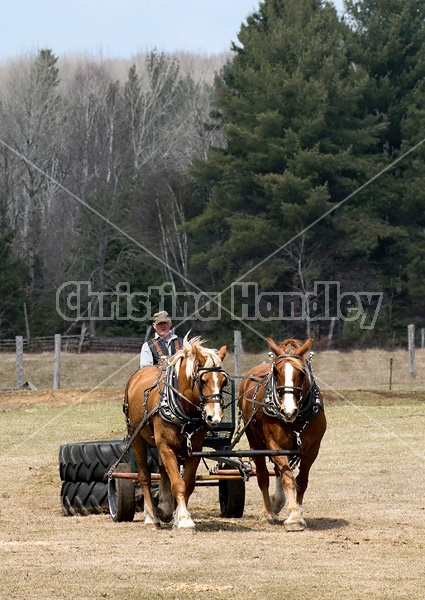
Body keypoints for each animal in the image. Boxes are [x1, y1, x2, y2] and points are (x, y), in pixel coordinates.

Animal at [124, 332, 227, 528]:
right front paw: (185, 521)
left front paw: (179, 516)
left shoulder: (194, 449)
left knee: (163, 471)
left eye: (224, 382)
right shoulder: (166, 446)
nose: (214, 417)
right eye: (203, 380)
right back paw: (151, 518)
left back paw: (164, 508)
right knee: (144, 476)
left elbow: (188, 484)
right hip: (137, 437)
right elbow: (178, 484)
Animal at [238, 338, 324, 528]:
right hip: (254, 440)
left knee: (278, 470)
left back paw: (277, 503)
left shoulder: (312, 449)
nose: (288, 410)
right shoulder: (275, 444)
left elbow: (301, 480)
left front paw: (298, 510)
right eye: (276, 372)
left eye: (302, 373)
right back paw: (268, 512)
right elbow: (288, 478)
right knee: (263, 475)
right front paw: (294, 517)